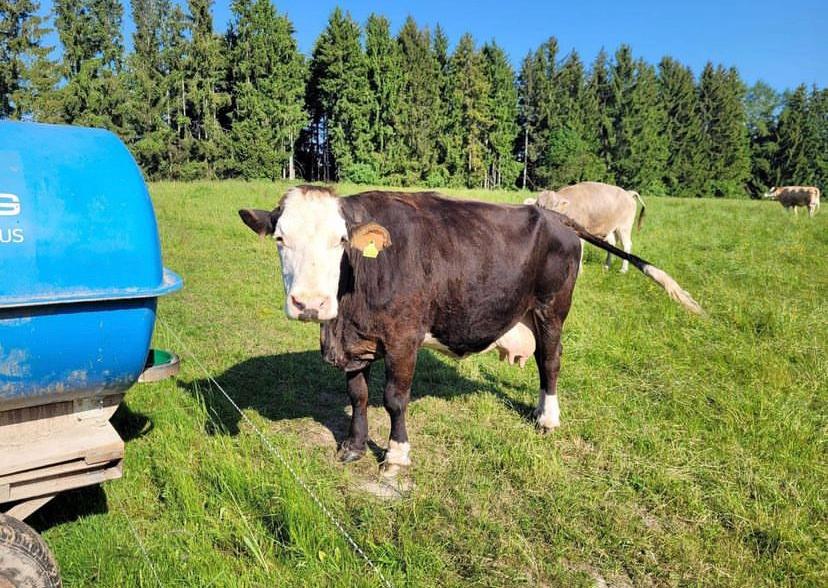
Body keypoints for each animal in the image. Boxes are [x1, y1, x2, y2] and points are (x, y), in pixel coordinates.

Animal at [238, 186, 700, 476]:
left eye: (340, 240)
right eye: (280, 239)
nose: (310, 303)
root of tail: (555, 216)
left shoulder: (404, 337)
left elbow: (394, 399)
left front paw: (397, 454)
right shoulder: (356, 342)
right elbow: (358, 395)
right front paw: (353, 446)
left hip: (552, 308)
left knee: (550, 361)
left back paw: (548, 418)